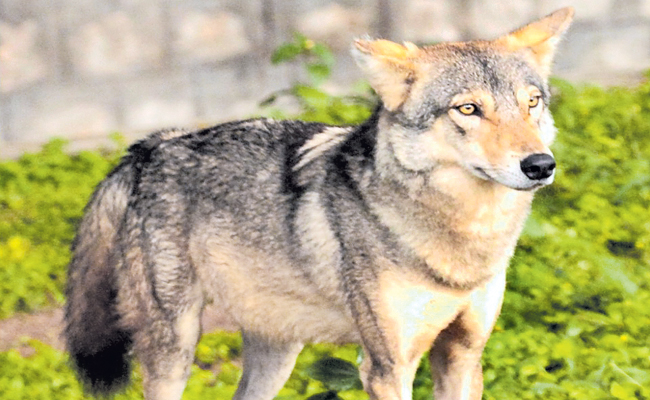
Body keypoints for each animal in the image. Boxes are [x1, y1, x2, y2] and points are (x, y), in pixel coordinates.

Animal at [64, 7, 573, 400]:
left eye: (532, 103)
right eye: (468, 109)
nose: (539, 165)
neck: (463, 239)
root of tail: (153, 145)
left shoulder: (463, 355)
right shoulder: (387, 368)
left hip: (277, 354)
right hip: (176, 349)